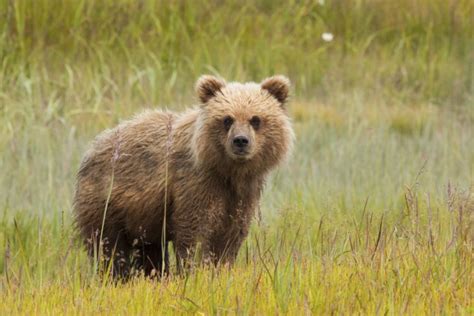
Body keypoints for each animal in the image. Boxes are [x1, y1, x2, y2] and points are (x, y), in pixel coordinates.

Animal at [73, 75, 292, 278]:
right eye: (227, 119)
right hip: (107, 202)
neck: (227, 172)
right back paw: (116, 276)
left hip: (143, 218)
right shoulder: (195, 184)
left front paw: (221, 269)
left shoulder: (242, 194)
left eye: (255, 119)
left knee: (149, 251)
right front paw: (195, 271)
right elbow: (195, 233)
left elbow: (231, 235)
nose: (240, 141)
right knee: (108, 246)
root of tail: (92, 148)